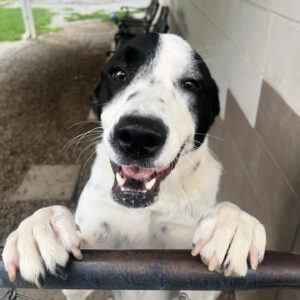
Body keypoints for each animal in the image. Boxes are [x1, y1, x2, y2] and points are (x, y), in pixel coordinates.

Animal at [1, 33, 264, 300]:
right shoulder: (86, 273)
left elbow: (227, 214)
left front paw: (232, 223)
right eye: (118, 74)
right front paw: (39, 228)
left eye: (190, 84)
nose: (138, 136)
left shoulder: (197, 283)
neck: (146, 207)